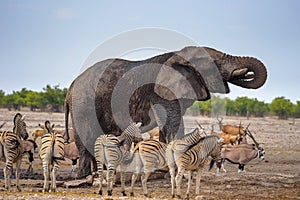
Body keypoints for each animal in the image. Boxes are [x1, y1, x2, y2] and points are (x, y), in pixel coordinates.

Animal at [65, 45, 268, 177]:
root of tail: (72, 85)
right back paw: (84, 176)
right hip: (83, 104)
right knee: (86, 135)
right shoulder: (161, 93)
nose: (245, 72)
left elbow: (167, 127)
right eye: (213, 62)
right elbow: (172, 125)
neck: (178, 56)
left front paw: (163, 171)